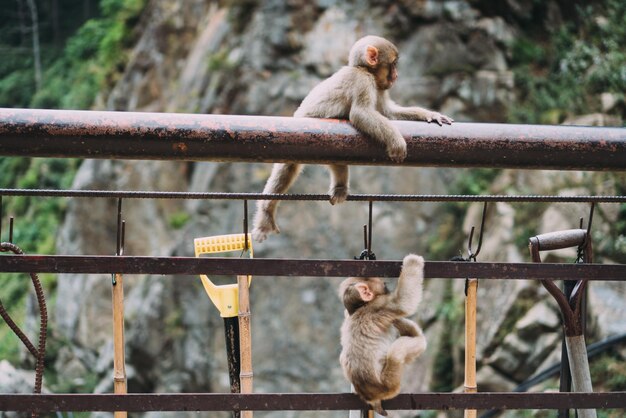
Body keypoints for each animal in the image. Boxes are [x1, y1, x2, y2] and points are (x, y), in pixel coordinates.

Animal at [251, 35, 450, 242]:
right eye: (394, 64)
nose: (396, 76)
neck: (363, 69)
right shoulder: (363, 81)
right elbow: (361, 114)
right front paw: (396, 141)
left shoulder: (379, 88)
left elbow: (389, 112)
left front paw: (429, 115)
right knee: (287, 169)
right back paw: (266, 213)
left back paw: (339, 187)